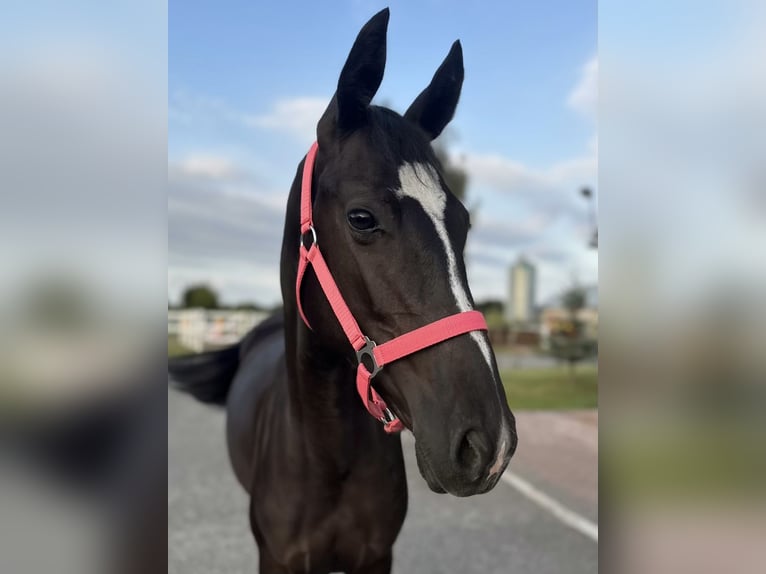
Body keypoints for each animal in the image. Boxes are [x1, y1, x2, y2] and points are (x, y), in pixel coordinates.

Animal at [169, 8, 517, 573]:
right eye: (361, 217)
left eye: (462, 222)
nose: (488, 443)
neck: (327, 460)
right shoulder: (276, 558)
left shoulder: (376, 556)